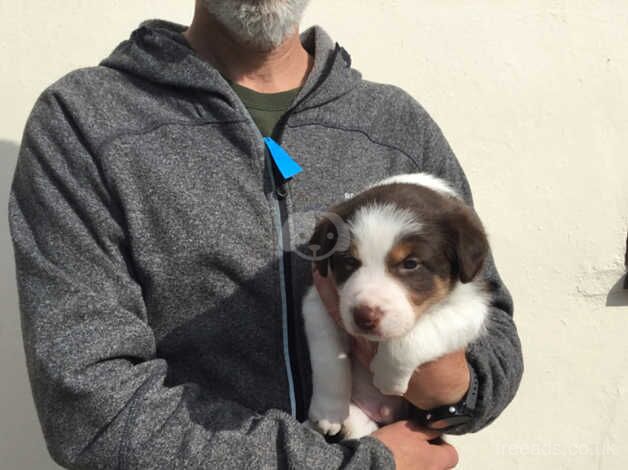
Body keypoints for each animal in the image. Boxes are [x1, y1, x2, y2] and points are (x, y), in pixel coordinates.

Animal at [302, 173, 490, 440]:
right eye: (349, 261)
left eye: (410, 264)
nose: (364, 317)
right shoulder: (319, 302)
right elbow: (328, 360)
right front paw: (328, 413)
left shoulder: (471, 305)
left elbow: (411, 339)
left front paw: (387, 378)